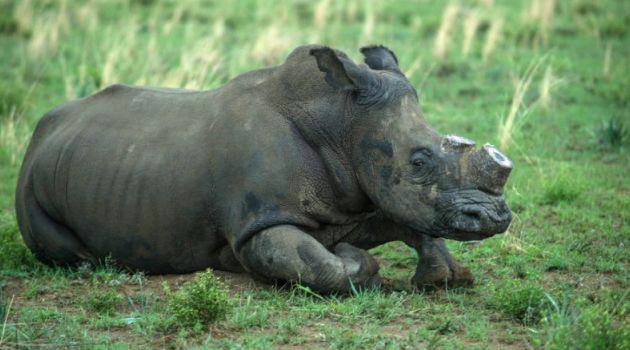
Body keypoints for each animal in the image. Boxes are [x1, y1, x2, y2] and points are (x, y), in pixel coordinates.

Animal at [16, 45, 512, 292]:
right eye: (419, 162)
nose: (495, 217)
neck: (341, 124)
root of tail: (40, 133)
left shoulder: (354, 197)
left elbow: (407, 220)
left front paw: (445, 277)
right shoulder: (258, 223)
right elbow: (323, 267)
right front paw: (359, 262)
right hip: (32, 189)